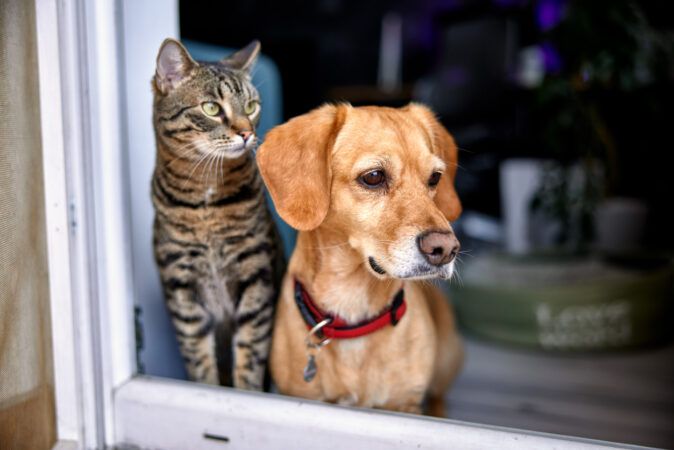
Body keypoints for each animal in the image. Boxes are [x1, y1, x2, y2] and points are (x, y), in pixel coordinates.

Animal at [151, 38, 280, 390]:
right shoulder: (181, 283)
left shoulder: (256, 273)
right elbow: (198, 357)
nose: (247, 133)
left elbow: (251, 352)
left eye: (251, 107)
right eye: (211, 108)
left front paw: (246, 393)